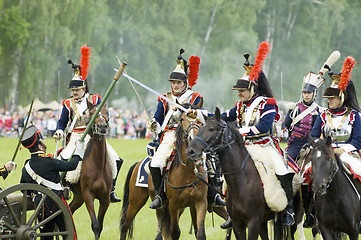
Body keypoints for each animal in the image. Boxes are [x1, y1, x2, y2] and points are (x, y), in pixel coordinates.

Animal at [67, 102, 112, 239]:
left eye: (106, 112)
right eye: (92, 113)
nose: (102, 126)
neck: (98, 165)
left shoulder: (105, 198)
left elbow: (100, 226)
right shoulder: (88, 195)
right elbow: (95, 225)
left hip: (79, 197)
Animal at [119, 105, 229, 240]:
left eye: (199, 120)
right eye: (182, 119)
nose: (193, 139)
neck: (188, 172)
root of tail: (138, 164)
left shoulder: (200, 203)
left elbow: (201, 232)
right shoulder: (174, 204)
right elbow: (175, 232)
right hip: (138, 201)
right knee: (126, 224)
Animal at [186, 108, 300, 239]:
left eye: (212, 129)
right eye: (201, 128)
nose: (190, 151)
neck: (240, 182)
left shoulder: (253, 223)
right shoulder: (237, 224)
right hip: (264, 222)